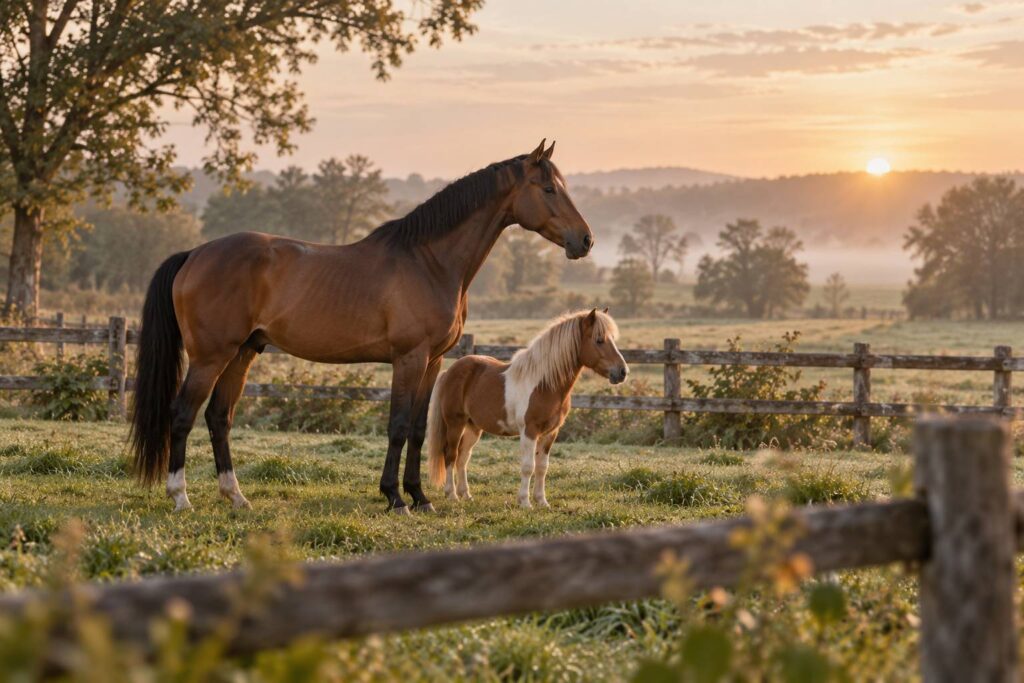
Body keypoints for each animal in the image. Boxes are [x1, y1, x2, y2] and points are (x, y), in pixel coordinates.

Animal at [129, 140, 595, 514]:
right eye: (549, 189)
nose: (585, 240)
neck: (429, 261)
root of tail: (194, 254)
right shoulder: (408, 359)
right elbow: (398, 425)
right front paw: (394, 497)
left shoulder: (432, 362)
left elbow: (418, 430)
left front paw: (419, 496)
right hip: (211, 356)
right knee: (182, 414)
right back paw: (180, 497)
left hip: (243, 352)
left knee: (219, 417)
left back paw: (236, 497)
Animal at [425, 309, 627, 508]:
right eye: (599, 340)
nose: (623, 372)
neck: (544, 385)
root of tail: (449, 371)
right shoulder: (529, 431)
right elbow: (528, 467)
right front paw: (525, 502)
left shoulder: (550, 433)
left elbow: (542, 467)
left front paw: (542, 501)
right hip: (455, 423)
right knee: (451, 455)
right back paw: (452, 495)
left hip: (473, 427)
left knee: (463, 457)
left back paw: (466, 494)